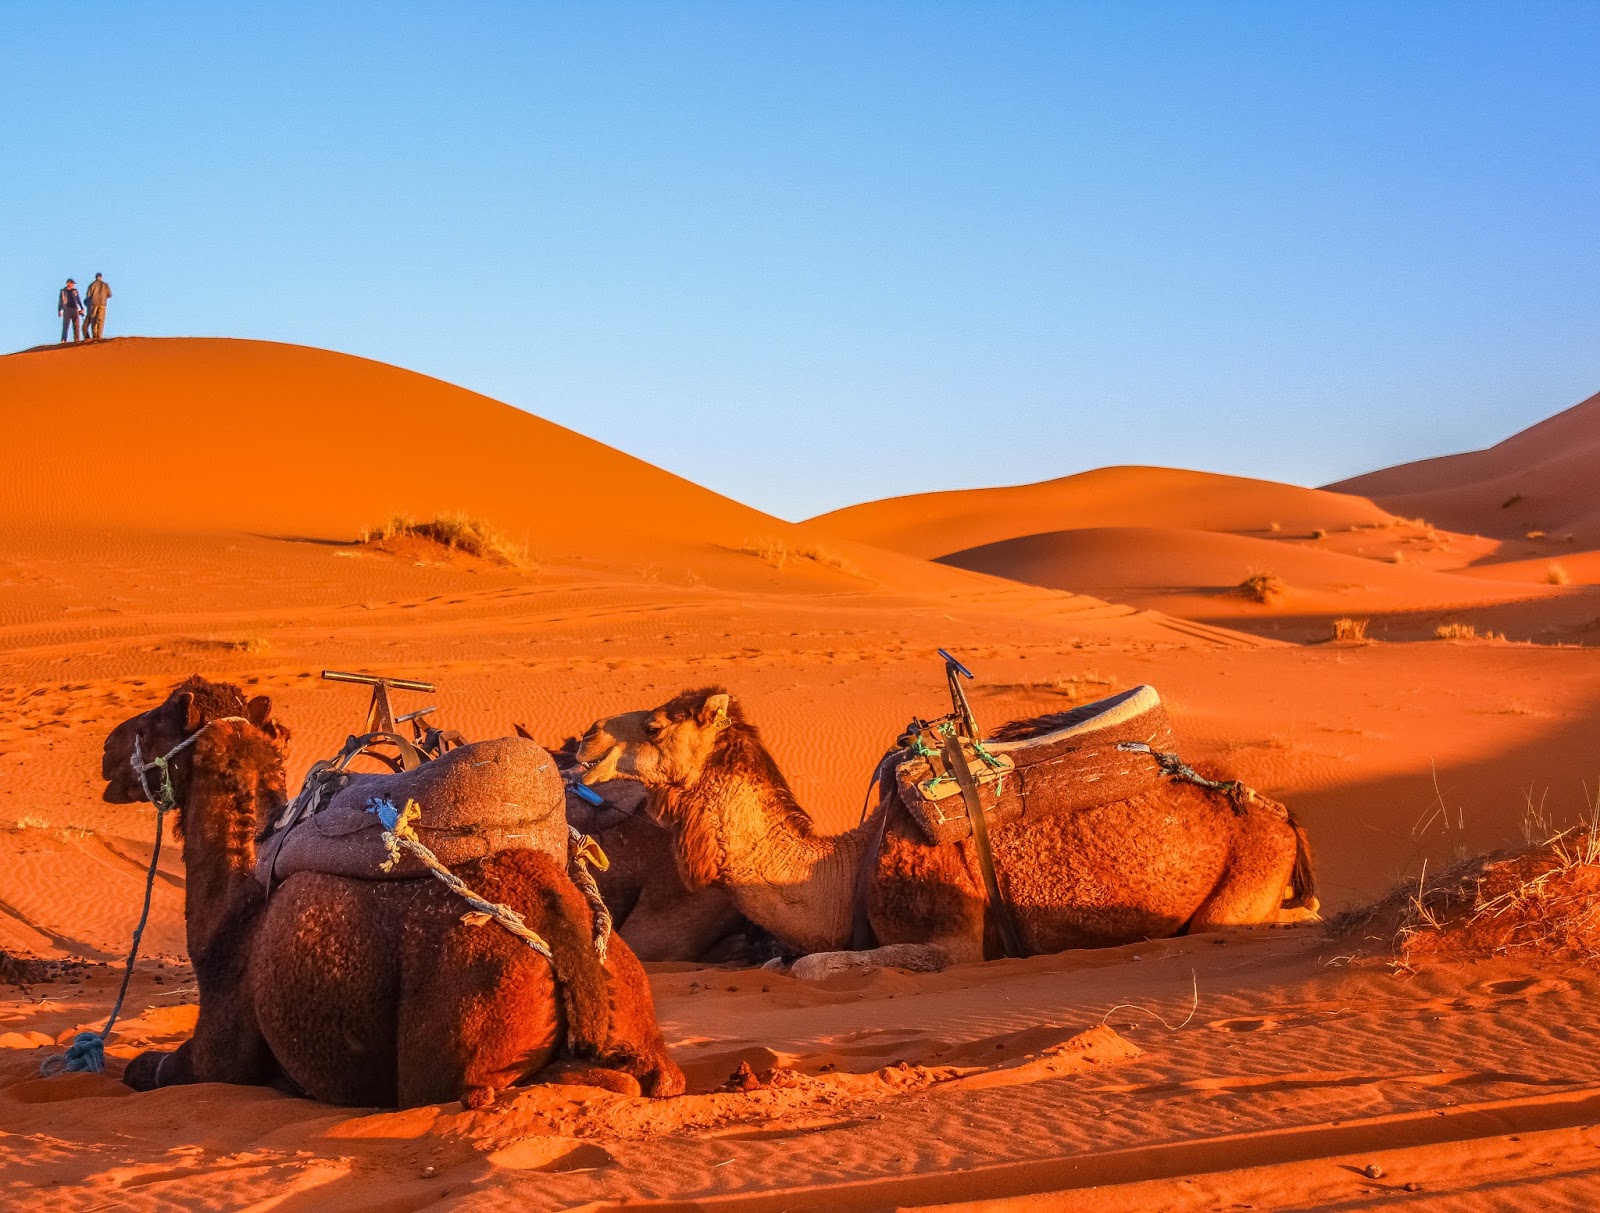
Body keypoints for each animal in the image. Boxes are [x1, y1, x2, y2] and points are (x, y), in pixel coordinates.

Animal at [104, 678, 681, 1107]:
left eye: (155, 721)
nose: (109, 748)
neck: (236, 909)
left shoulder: (216, 1052)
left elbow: (151, 1069)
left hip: (456, 1050)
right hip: (628, 998)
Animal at [582, 688, 1318, 972]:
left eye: (654, 725)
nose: (585, 740)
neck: (839, 871)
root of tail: (1279, 812)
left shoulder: (954, 940)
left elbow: (814, 964)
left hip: (1243, 876)